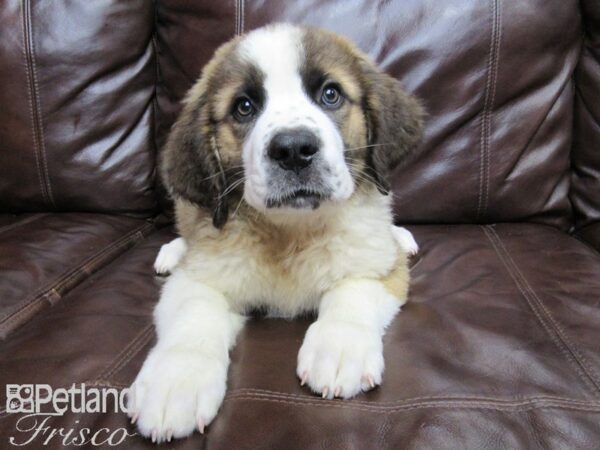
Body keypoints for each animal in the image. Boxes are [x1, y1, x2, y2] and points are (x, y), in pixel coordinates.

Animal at [129, 23, 424, 442]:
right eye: (244, 107)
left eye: (330, 94)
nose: (294, 149)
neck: (290, 233)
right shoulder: (201, 277)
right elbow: (194, 315)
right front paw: (175, 382)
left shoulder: (377, 268)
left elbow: (354, 290)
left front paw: (340, 347)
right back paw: (172, 250)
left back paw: (401, 238)